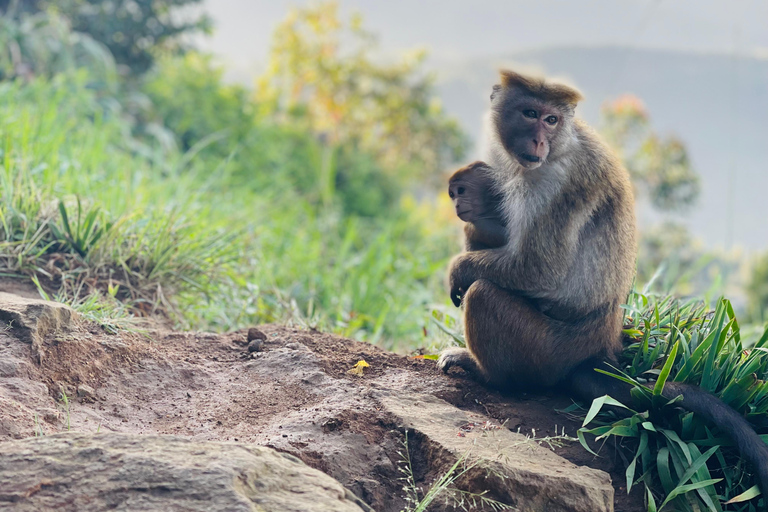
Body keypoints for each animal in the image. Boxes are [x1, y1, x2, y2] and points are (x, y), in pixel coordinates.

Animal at [438, 70, 768, 494]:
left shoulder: (553, 181)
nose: (539, 141)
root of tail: (600, 351)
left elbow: (537, 269)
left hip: (548, 349)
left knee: (485, 296)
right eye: (530, 113)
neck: (559, 147)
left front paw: (460, 269)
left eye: (551, 119)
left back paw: (488, 374)